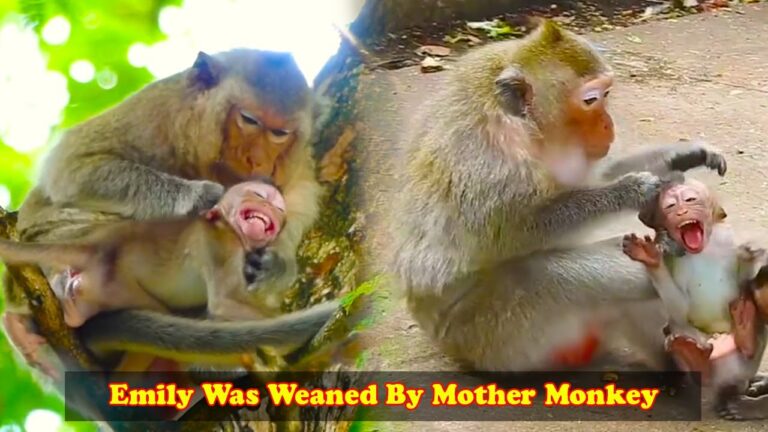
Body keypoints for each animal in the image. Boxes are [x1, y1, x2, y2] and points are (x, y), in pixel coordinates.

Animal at [2, 48, 323, 377]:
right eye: (248, 120)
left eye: (280, 133)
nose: (257, 160)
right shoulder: (158, 112)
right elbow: (74, 167)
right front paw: (197, 196)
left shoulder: (296, 170)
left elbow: (296, 206)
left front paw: (276, 266)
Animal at [387, 19, 729, 373]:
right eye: (591, 100)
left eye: (607, 94)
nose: (608, 125)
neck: (528, 128)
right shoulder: (484, 158)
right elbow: (512, 233)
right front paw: (631, 191)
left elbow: (592, 177)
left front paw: (680, 155)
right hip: (493, 335)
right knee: (546, 276)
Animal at [621, 177, 766, 388]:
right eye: (671, 206)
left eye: (690, 200)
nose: (682, 212)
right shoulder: (672, 258)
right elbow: (680, 310)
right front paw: (650, 259)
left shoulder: (728, 238)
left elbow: (744, 284)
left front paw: (750, 255)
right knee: (675, 326)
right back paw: (694, 357)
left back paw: (746, 331)